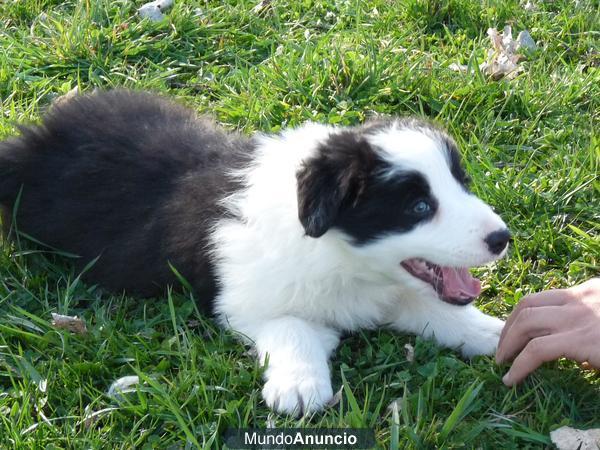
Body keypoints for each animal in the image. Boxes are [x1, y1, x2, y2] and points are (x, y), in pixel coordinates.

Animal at [0, 90, 510, 414]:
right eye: (419, 206)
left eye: (462, 183)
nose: (502, 238)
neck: (340, 254)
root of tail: (33, 137)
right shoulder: (246, 301)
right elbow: (291, 326)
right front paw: (300, 385)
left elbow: (431, 306)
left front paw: (493, 331)